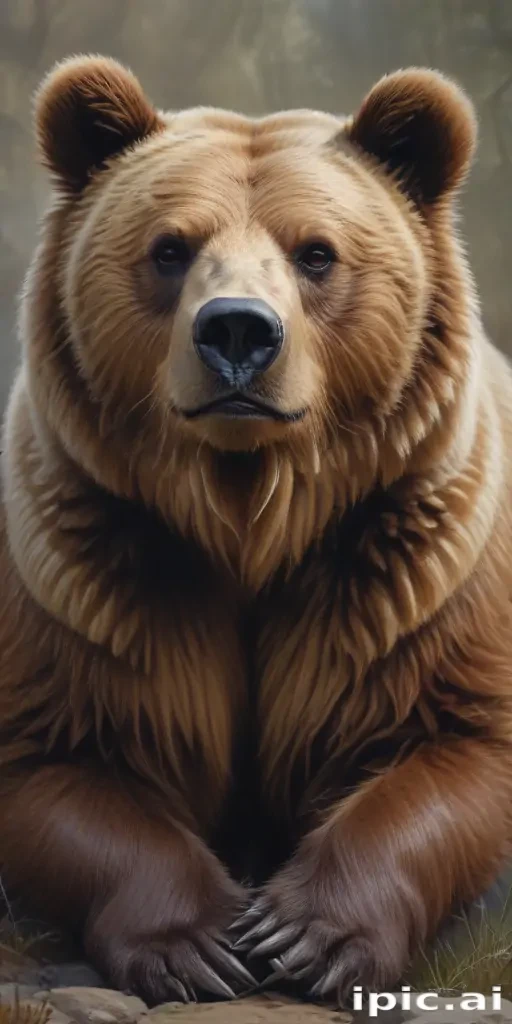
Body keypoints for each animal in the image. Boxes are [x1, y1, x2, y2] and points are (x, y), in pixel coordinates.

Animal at [1, 53, 512, 1006]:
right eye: (170, 248)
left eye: (316, 252)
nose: (238, 329)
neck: (250, 510)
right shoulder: (91, 577)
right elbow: (55, 763)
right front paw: (197, 941)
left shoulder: (413, 572)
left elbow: (457, 750)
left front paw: (308, 934)